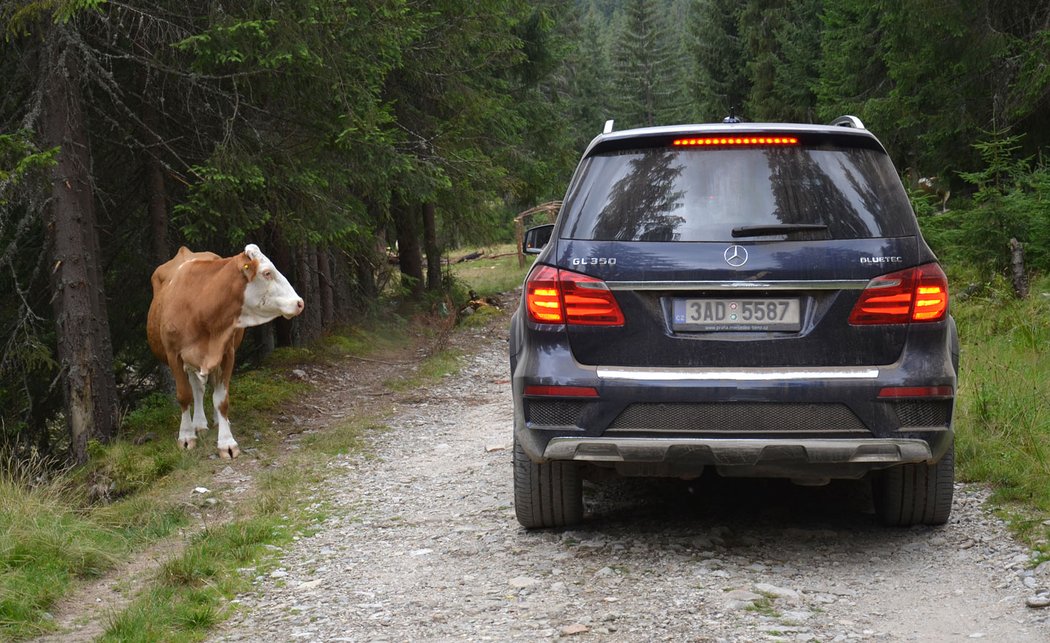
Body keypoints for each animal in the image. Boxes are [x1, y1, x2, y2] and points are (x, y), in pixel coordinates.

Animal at [143, 243, 302, 460]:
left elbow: (221, 399)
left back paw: (213, 421)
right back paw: (198, 424)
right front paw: (186, 436)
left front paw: (226, 442)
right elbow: (184, 395)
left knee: (203, 388)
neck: (199, 306)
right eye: (267, 273)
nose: (299, 302)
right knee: (196, 388)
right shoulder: (174, 355)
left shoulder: (226, 353)